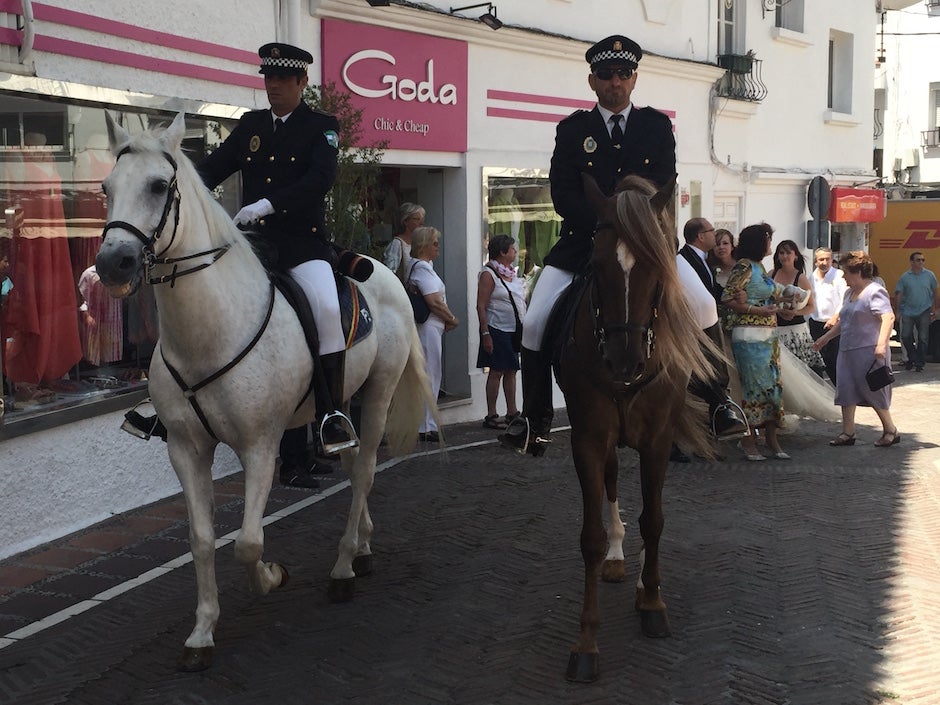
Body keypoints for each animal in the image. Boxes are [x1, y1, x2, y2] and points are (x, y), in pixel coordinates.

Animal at [95, 114, 434, 672]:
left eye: (159, 186)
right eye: (105, 188)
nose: (113, 264)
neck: (211, 331)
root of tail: (384, 271)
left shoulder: (260, 445)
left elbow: (249, 543)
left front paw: (272, 577)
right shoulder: (185, 448)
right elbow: (203, 539)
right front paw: (201, 633)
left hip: (379, 395)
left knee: (364, 470)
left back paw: (344, 566)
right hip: (344, 404)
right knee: (352, 465)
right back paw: (361, 547)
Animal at [560, 172, 712, 680]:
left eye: (656, 267)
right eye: (596, 264)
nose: (624, 361)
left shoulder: (658, 439)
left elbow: (655, 520)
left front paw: (653, 602)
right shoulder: (588, 438)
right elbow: (589, 537)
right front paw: (586, 642)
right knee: (611, 487)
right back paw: (617, 555)